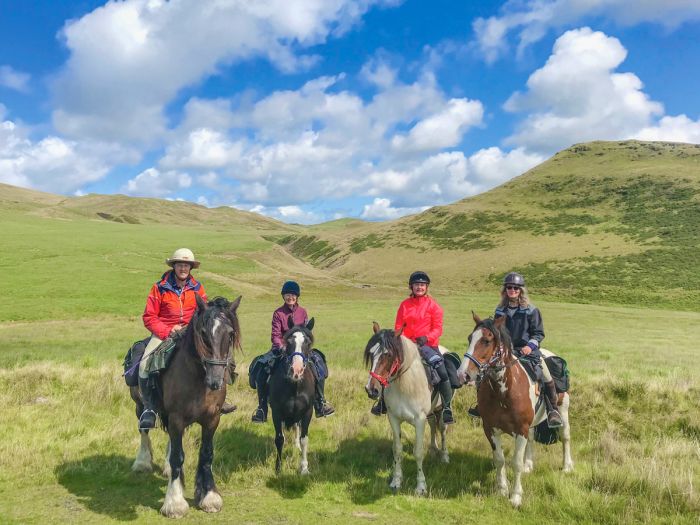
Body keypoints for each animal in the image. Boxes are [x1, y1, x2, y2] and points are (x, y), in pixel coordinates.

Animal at [130, 294, 242, 516]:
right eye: (204, 333)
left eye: (231, 334)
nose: (215, 381)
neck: (198, 378)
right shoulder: (177, 418)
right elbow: (178, 456)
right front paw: (174, 503)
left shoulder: (212, 419)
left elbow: (206, 454)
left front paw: (208, 496)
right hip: (141, 407)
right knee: (144, 430)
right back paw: (142, 462)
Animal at [266, 316, 316, 474]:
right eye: (288, 341)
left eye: (307, 342)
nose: (296, 370)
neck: (295, 385)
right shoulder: (276, 412)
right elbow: (279, 438)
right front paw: (278, 468)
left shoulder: (307, 411)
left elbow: (304, 438)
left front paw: (304, 468)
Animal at [364, 320, 452, 496]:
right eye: (371, 354)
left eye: (388, 355)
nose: (371, 390)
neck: (405, 385)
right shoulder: (393, 418)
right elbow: (397, 450)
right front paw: (396, 481)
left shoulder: (419, 420)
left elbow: (418, 452)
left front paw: (421, 486)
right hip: (431, 412)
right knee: (433, 425)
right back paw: (434, 449)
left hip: (441, 409)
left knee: (442, 428)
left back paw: (444, 456)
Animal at [454, 314, 576, 506]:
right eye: (469, 338)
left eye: (487, 340)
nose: (462, 375)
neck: (503, 392)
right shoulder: (490, 428)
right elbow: (499, 459)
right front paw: (502, 489)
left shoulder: (521, 429)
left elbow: (515, 462)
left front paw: (516, 496)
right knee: (532, 439)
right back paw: (529, 464)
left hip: (563, 410)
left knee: (565, 437)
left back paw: (566, 467)